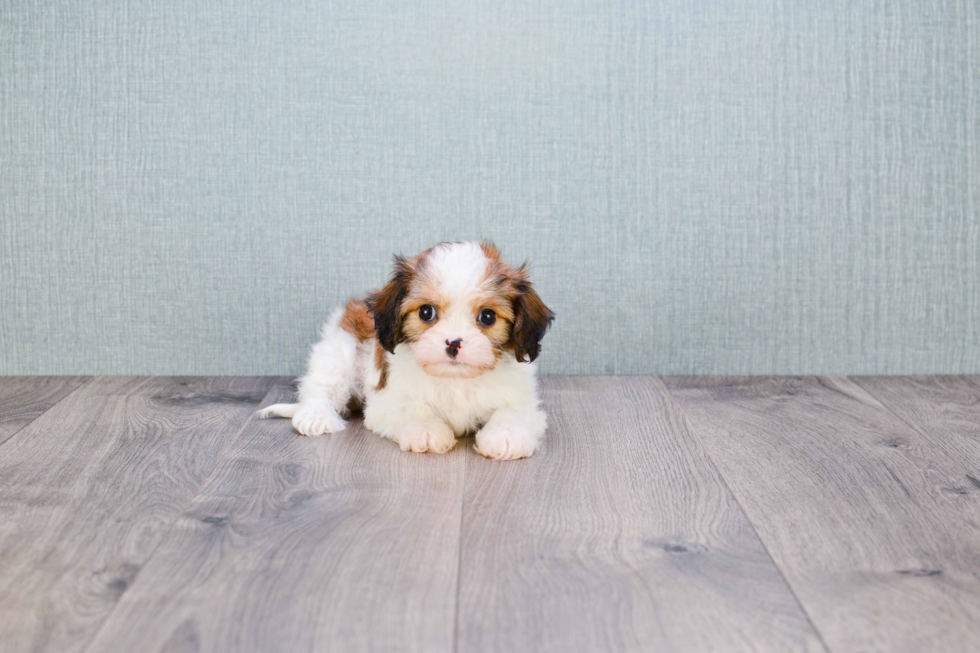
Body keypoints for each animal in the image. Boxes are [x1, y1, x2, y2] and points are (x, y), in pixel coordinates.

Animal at [256, 239, 556, 458]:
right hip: (339, 350)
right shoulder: (386, 402)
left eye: (488, 317)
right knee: (322, 386)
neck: (455, 379)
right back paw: (315, 416)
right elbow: (412, 410)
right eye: (426, 312)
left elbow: (512, 412)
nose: (453, 342)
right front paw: (426, 431)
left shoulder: (520, 400)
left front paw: (506, 436)